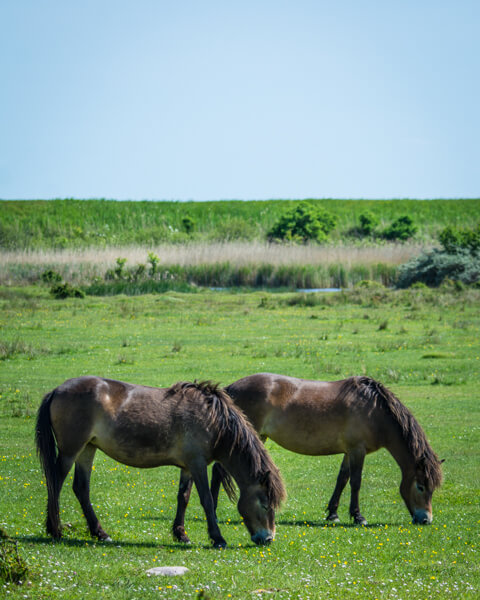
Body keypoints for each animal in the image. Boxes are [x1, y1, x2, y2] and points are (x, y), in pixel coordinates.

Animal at [36, 380, 288, 548]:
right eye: (265, 503)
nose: (268, 539)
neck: (213, 420)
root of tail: (57, 390)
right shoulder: (198, 464)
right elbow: (206, 500)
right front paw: (217, 538)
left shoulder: (187, 467)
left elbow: (183, 498)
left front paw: (181, 535)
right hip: (70, 451)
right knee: (55, 483)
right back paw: (55, 530)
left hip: (87, 449)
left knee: (81, 489)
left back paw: (100, 533)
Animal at [210, 376, 442, 524]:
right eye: (421, 486)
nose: (426, 519)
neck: (374, 410)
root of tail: (231, 389)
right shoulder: (357, 450)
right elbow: (355, 482)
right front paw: (358, 517)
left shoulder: (349, 452)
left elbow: (342, 480)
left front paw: (333, 514)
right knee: (219, 471)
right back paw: (212, 510)